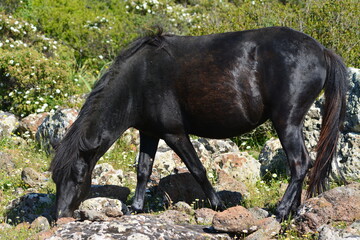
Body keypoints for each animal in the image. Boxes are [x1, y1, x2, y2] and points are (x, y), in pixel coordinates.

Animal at [49, 26, 348, 221]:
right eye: (55, 179)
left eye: (78, 178)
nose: (60, 216)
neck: (138, 80)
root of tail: (321, 50)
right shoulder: (149, 132)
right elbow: (143, 170)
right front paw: (136, 208)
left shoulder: (174, 133)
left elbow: (198, 169)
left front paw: (218, 205)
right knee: (302, 163)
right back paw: (294, 211)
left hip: (286, 121)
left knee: (299, 163)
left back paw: (282, 212)